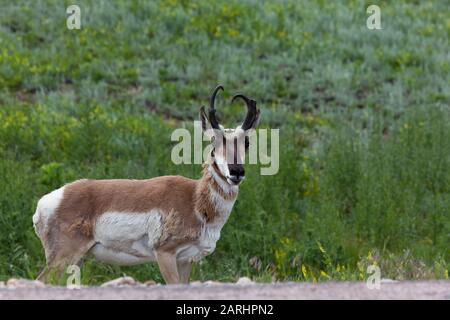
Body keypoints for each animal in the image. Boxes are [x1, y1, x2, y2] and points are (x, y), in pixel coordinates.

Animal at [33, 85, 260, 284]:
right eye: (214, 141)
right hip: (63, 257)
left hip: (77, 260)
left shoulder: (186, 260)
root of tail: (48, 201)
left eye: (247, 143)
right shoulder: (165, 253)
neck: (194, 199)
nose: (236, 172)